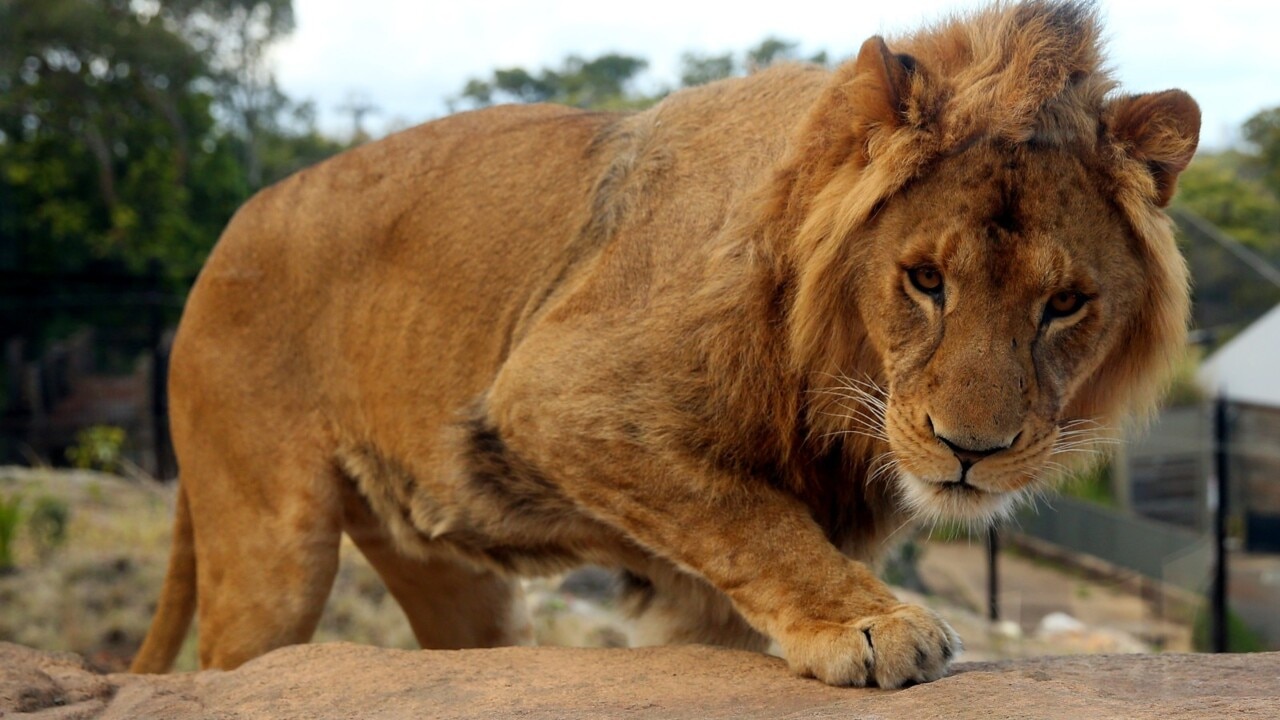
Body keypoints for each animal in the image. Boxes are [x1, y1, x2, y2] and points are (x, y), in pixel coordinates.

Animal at [132, 0, 1198, 681]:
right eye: (925, 281)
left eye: (1065, 304)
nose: (972, 452)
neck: (838, 389)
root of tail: (229, 230)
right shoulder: (551, 394)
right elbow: (751, 517)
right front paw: (872, 625)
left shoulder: (701, 593)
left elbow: (747, 548)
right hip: (269, 546)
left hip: (459, 582)